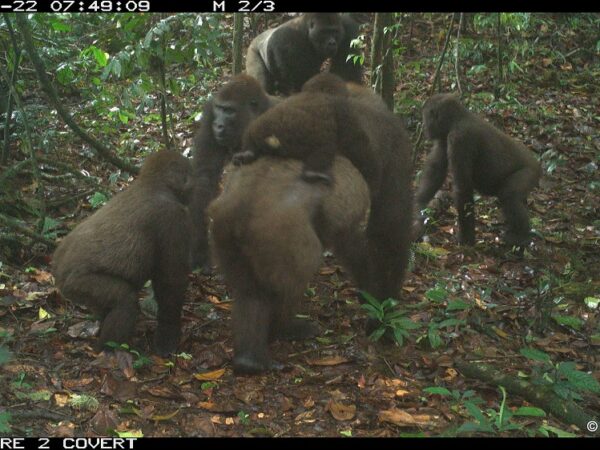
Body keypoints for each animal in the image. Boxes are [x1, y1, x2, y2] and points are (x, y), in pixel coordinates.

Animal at [190, 74, 278, 268]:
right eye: (219, 108)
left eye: (229, 111)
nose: (218, 125)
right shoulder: (209, 113)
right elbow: (204, 177)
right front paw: (200, 246)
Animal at [207, 156, 370, 374]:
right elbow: (352, 243)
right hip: (279, 239)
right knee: (290, 285)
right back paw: (284, 329)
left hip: (223, 232)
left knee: (251, 292)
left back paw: (249, 359)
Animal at [414, 92, 540, 246]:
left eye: (426, 117)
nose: (424, 126)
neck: (458, 118)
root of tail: (538, 165)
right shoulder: (445, 137)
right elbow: (436, 170)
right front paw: (418, 206)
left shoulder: (460, 138)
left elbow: (463, 187)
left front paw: (466, 239)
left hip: (530, 172)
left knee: (509, 196)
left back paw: (521, 237)